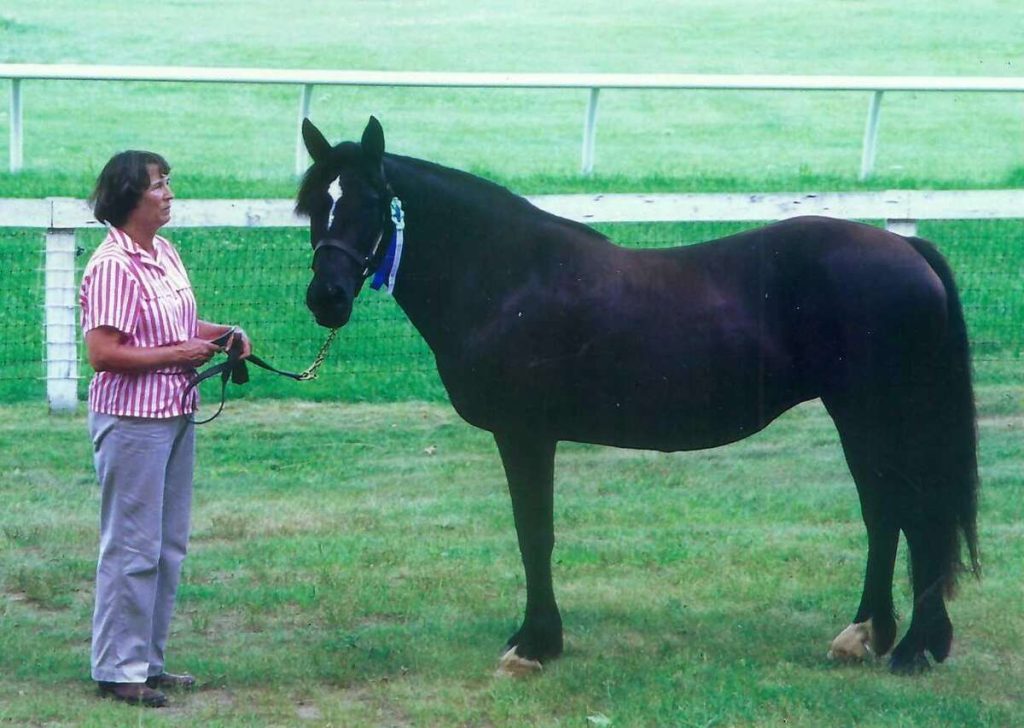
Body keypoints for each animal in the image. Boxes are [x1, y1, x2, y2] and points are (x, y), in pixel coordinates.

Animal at [296, 116, 979, 676]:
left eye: (373, 202)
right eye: (313, 206)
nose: (326, 297)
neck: (508, 276)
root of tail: (906, 247)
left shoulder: (526, 434)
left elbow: (534, 533)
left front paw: (534, 645)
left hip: (877, 411)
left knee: (914, 514)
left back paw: (913, 648)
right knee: (885, 513)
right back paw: (866, 636)